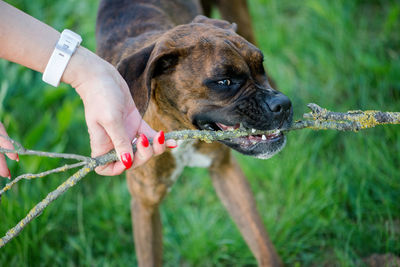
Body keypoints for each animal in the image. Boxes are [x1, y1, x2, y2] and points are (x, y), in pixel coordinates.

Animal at [95, 1, 292, 266]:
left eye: (260, 66)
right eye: (224, 82)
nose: (283, 104)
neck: (180, 131)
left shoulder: (226, 171)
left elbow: (261, 240)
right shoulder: (145, 207)